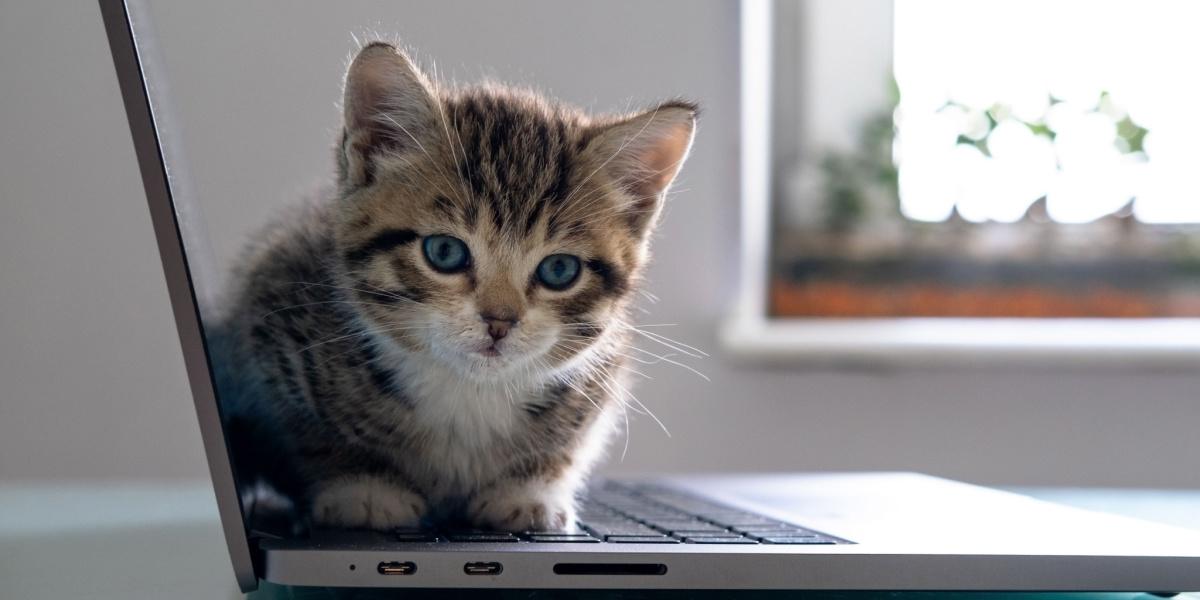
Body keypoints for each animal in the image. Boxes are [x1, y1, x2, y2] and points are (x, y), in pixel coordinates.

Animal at [213, 41, 696, 530]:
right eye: (444, 252)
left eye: (559, 270)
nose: (499, 322)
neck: (469, 393)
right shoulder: (271, 323)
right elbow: (313, 434)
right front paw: (363, 487)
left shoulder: (604, 373)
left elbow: (568, 441)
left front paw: (528, 490)